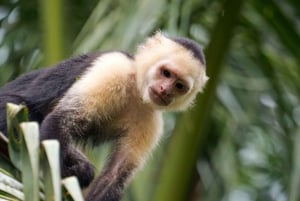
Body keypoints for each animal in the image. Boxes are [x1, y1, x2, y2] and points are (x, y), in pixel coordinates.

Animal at [0, 32, 209, 200]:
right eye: (166, 73)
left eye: (179, 85)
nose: (165, 90)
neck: (136, 91)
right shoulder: (114, 69)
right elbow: (60, 121)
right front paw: (53, 187)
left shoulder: (152, 121)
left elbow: (114, 175)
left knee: (87, 170)